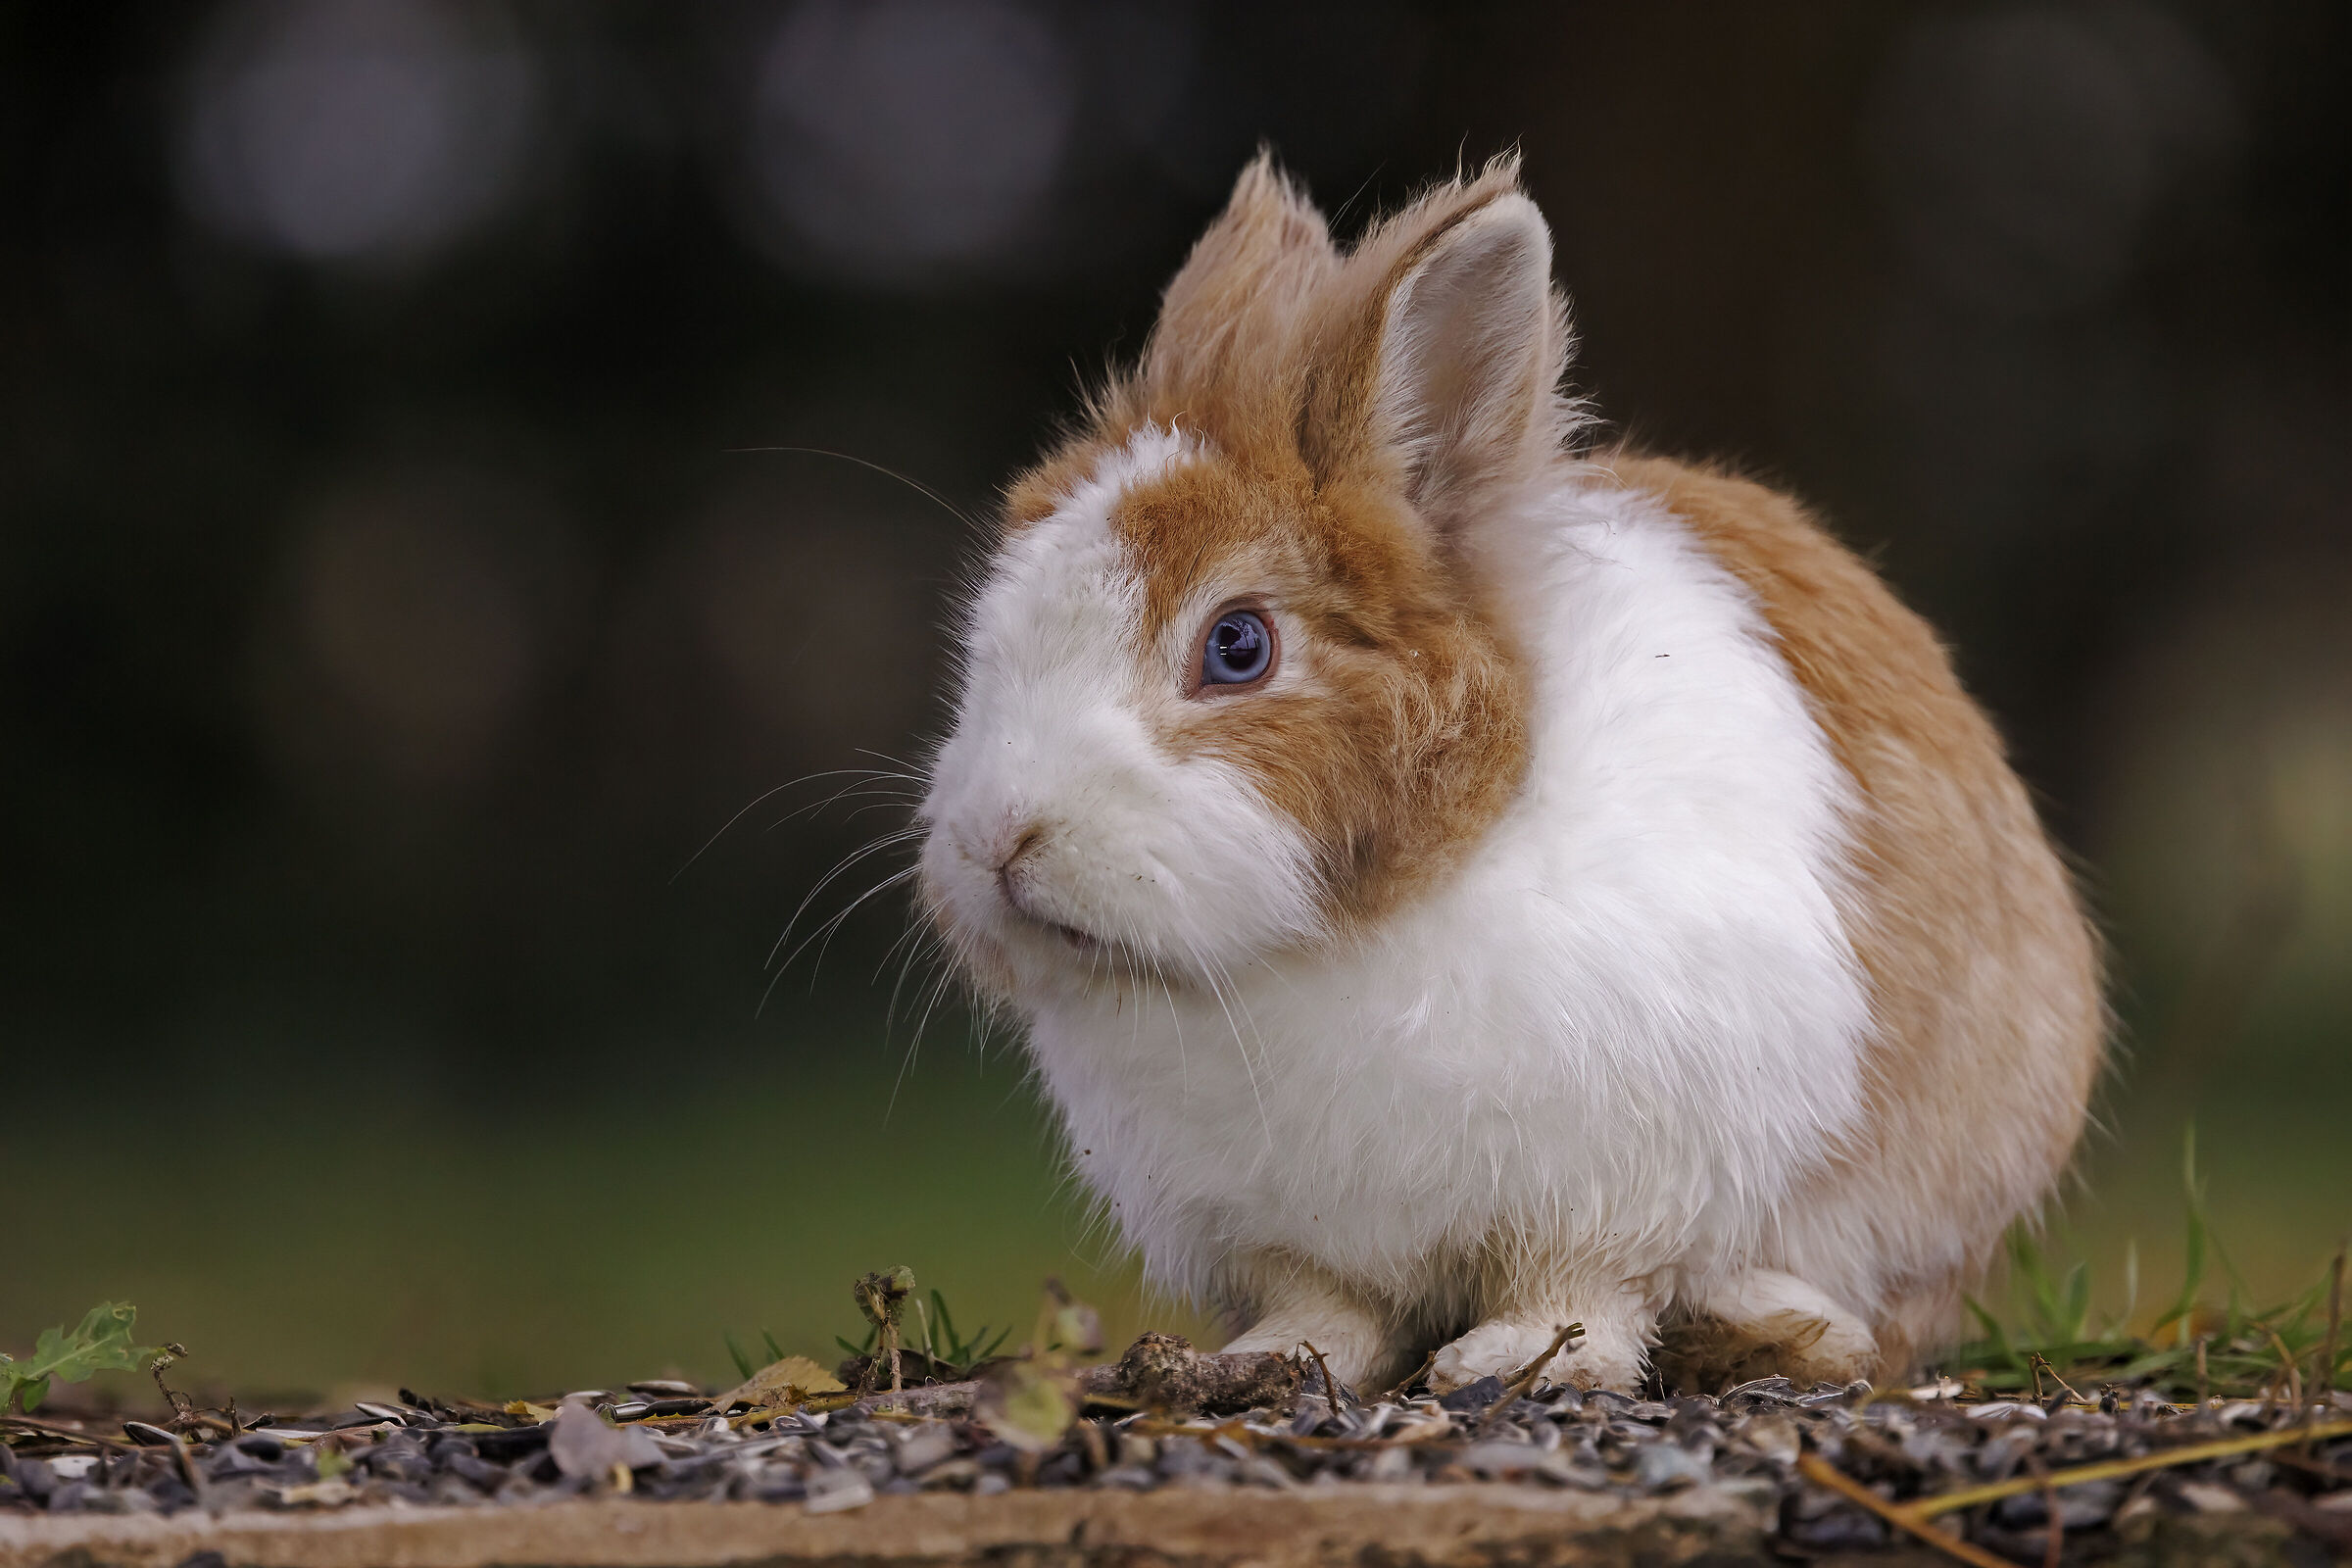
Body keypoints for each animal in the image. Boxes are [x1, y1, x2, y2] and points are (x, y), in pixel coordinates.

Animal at [915, 154, 2103, 1395]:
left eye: (1237, 646)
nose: (997, 840)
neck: (1341, 937)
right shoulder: (1281, 1228)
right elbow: (1330, 1302)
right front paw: (1275, 1356)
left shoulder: (1624, 1177)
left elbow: (1580, 1284)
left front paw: (1518, 1360)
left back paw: (1768, 1330)